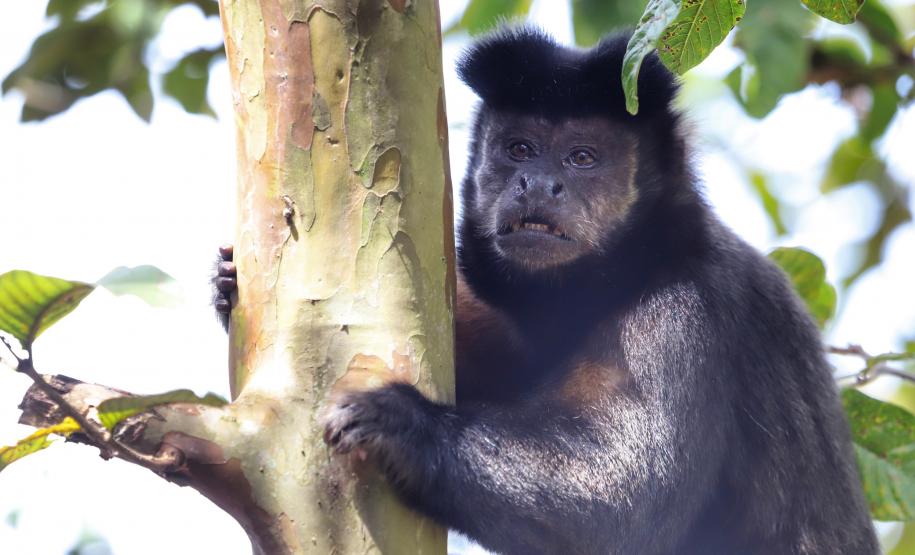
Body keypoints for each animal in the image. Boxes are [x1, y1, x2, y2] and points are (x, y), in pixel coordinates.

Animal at [214, 27, 878, 555]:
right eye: (520, 149)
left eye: (582, 157)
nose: (537, 182)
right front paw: (226, 287)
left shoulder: (685, 311)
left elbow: (627, 501)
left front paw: (401, 424)